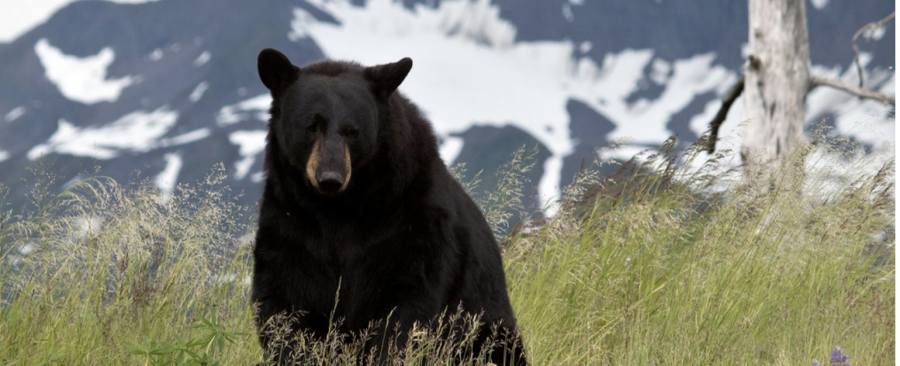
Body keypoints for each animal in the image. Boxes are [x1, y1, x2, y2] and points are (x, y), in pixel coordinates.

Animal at [250, 49, 528, 366]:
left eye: (353, 132)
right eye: (310, 127)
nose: (330, 178)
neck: (338, 210)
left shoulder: (411, 222)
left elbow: (405, 310)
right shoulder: (289, 223)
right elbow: (284, 303)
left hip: (490, 329)